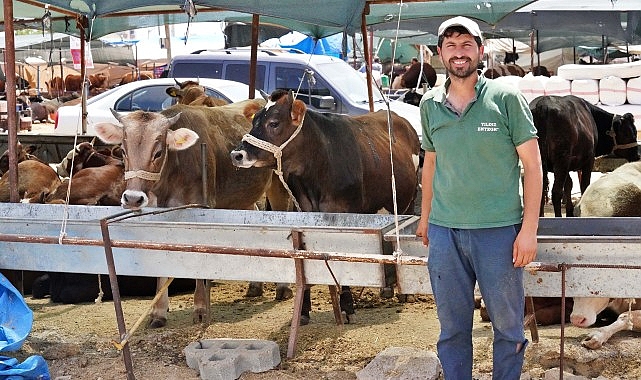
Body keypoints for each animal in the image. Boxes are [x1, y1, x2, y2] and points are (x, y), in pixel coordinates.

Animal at [94, 99, 286, 328]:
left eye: (158, 152)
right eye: (123, 151)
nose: (133, 198)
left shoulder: (201, 211)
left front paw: (201, 309)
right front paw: (158, 312)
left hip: (278, 187)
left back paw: (283, 289)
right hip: (243, 197)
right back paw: (255, 286)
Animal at [230, 88, 420, 324]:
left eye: (273, 123)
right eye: (254, 120)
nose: (237, 154)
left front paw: (347, 306)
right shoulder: (304, 214)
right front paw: (303, 310)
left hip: (409, 201)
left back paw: (405, 293)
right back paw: (387, 289)